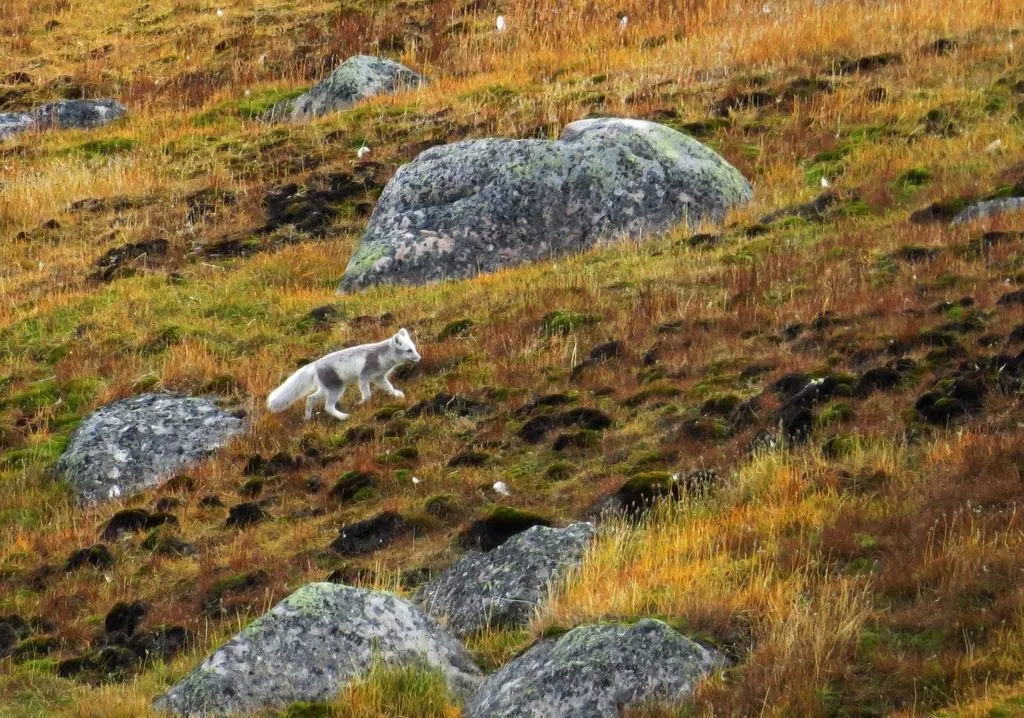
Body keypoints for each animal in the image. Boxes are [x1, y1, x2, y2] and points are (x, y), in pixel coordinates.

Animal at [266, 328, 421, 421]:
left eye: (414, 348)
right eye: (409, 350)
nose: (420, 358)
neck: (383, 356)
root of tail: (315, 364)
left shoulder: (379, 377)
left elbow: (389, 387)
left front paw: (398, 395)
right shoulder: (364, 376)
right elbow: (367, 394)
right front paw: (361, 403)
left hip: (326, 389)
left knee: (310, 398)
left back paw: (307, 418)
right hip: (337, 388)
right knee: (327, 407)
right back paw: (343, 417)